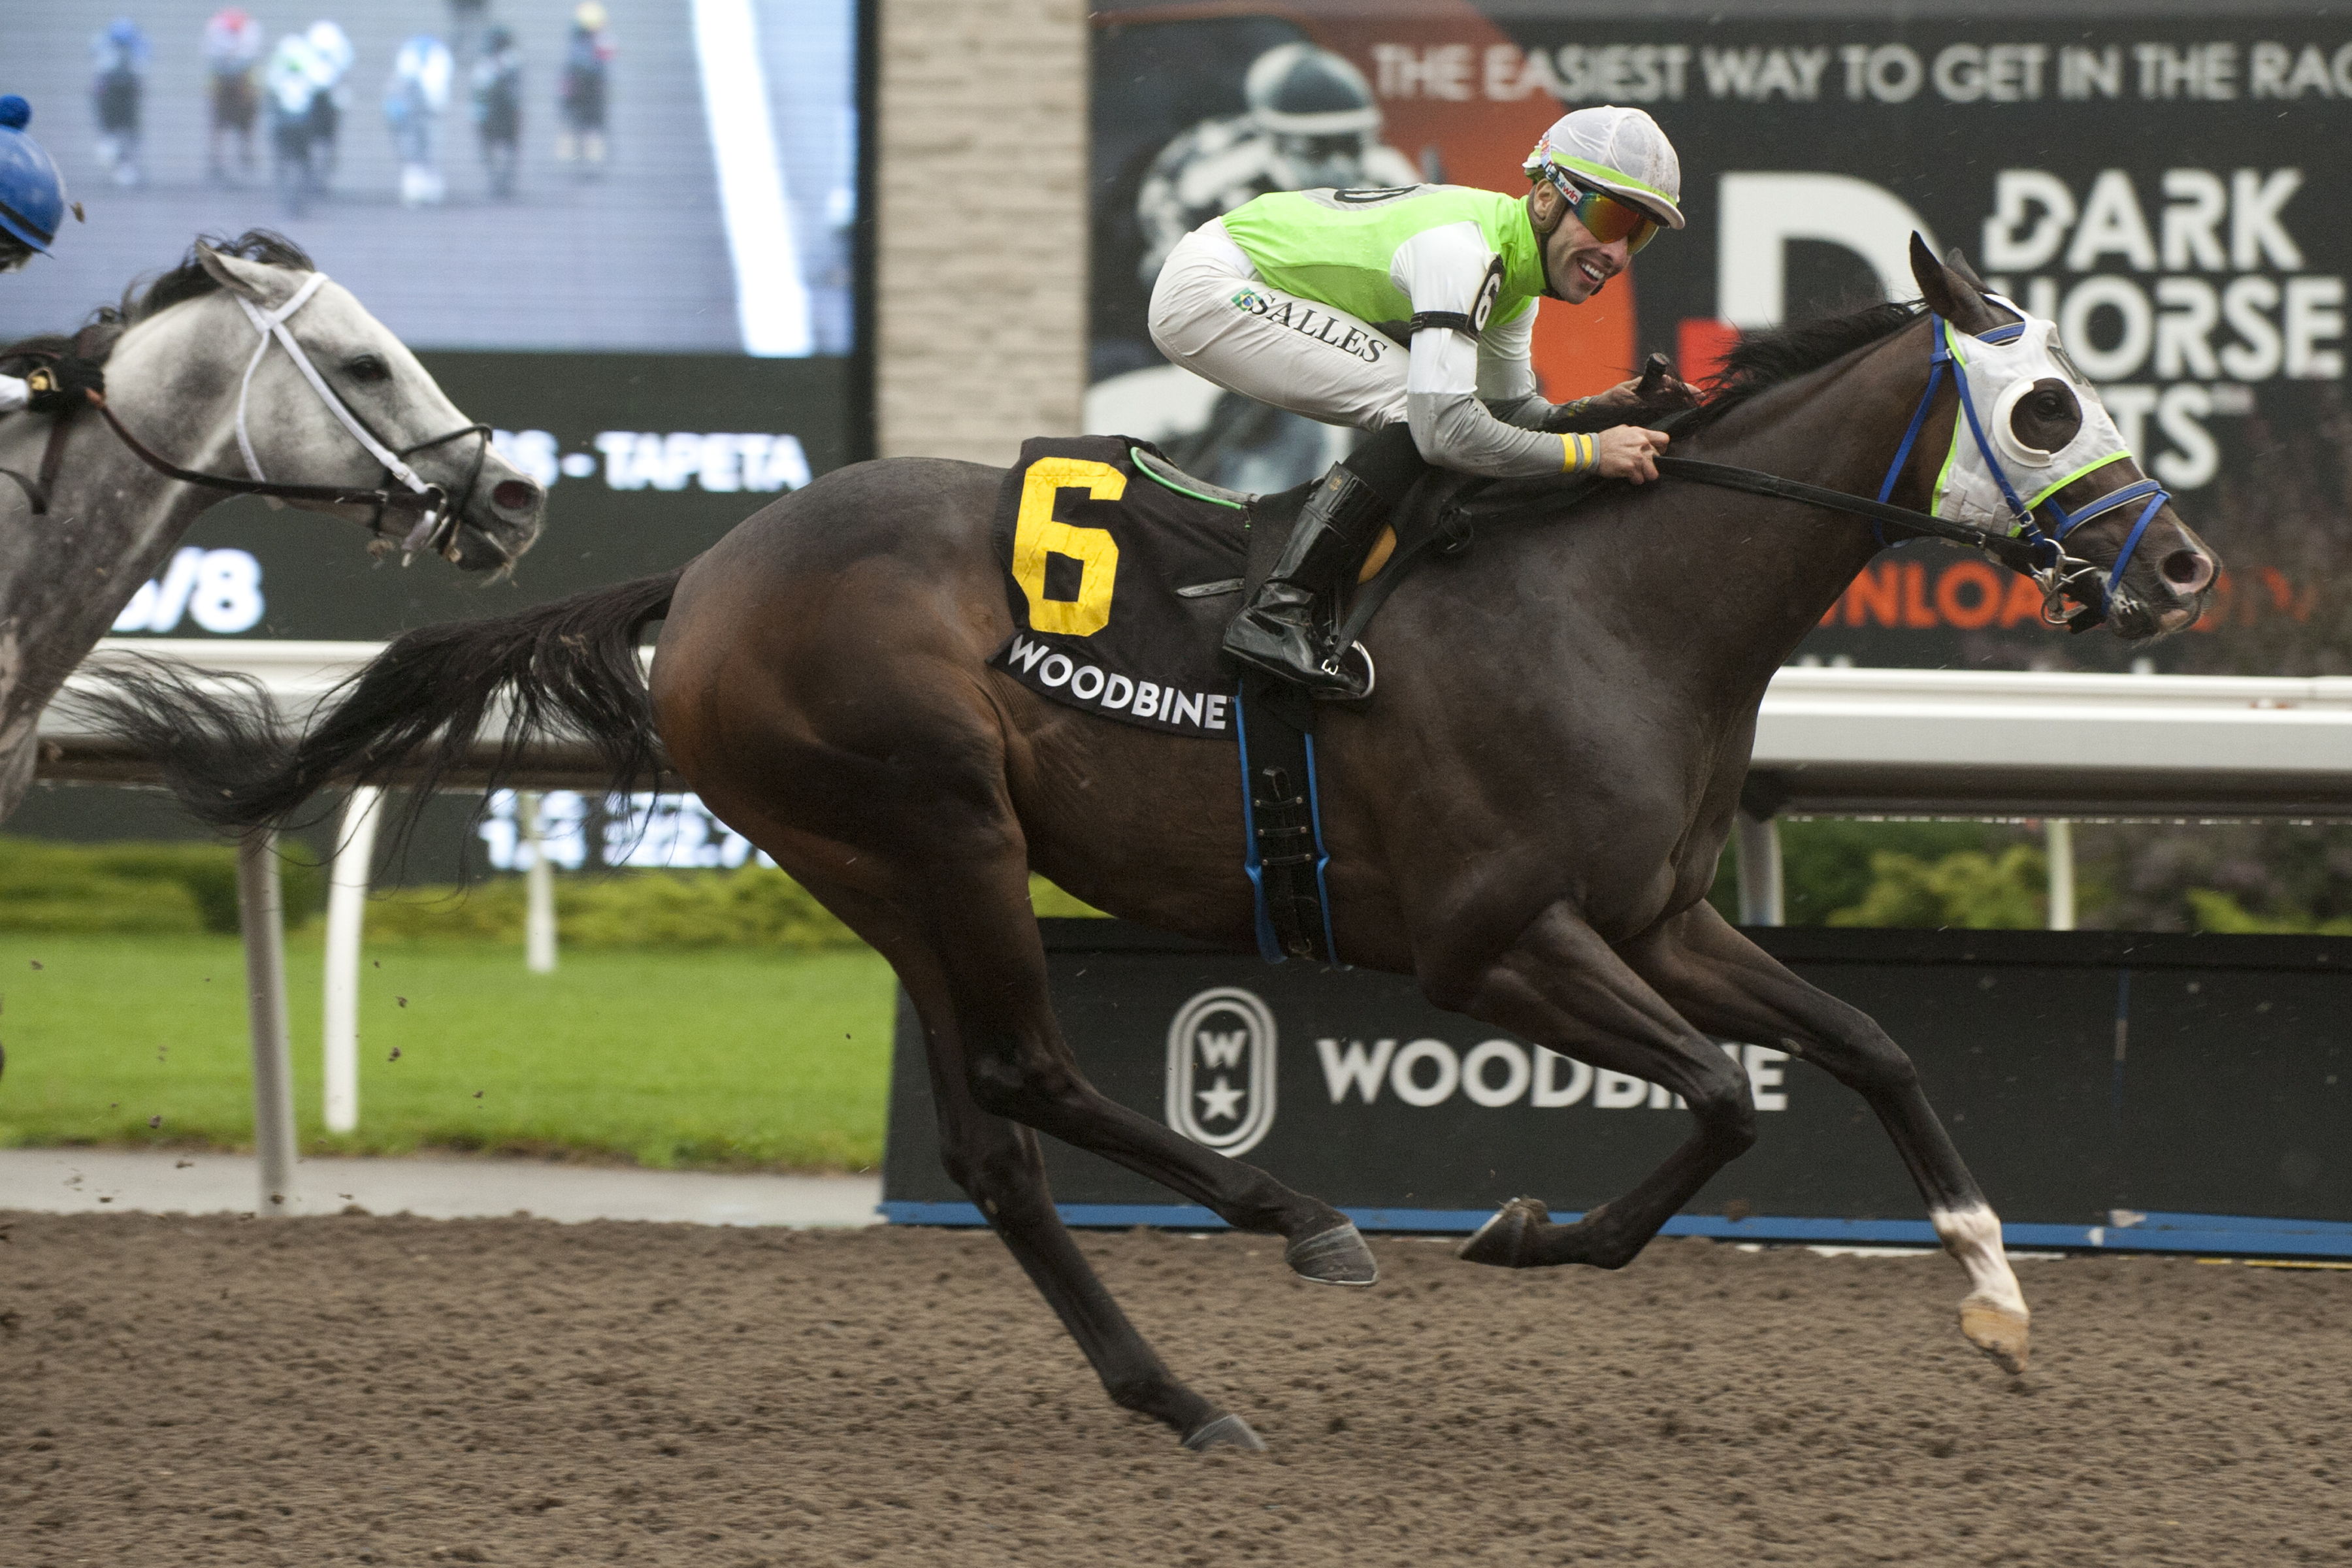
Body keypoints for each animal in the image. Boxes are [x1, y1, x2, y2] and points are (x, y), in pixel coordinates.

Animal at [91, 240, 2211, 1457]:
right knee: (1035, 1075)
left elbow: (1861, 1045)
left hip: (883, 870)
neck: (1612, 601)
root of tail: (707, 566)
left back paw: (1175, 1388)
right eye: (2045, 403)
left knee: (994, 1141)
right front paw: (1529, 1231)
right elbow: (1715, 1095)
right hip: (936, 824)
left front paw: (1997, 1292)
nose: (2181, 565)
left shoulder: (1661, 911)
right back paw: (1300, 1220)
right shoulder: (1492, 938)